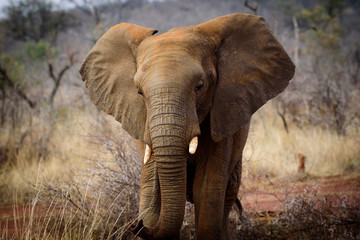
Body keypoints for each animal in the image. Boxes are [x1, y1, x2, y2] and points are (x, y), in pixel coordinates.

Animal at [80, 13, 294, 240]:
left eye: (199, 86)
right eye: (139, 92)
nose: (135, 224)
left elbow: (207, 188)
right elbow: (152, 185)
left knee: (228, 193)